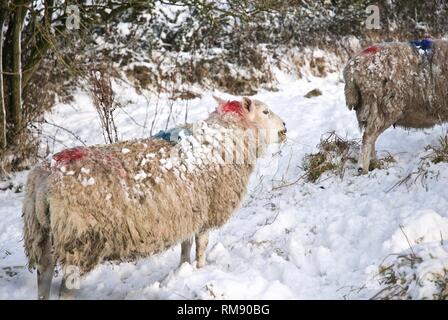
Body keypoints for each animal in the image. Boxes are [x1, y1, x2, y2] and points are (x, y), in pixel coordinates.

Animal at [21, 96, 288, 298]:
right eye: (265, 111)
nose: (284, 128)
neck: (222, 141)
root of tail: (44, 180)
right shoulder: (207, 212)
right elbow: (201, 246)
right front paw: (201, 270)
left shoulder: (188, 211)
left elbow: (186, 246)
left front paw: (183, 268)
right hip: (79, 238)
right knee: (67, 286)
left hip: (41, 232)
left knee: (43, 274)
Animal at [344, 39, 448, 174]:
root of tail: (351, 69)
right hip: (382, 106)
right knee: (368, 138)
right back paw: (363, 169)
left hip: (370, 108)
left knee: (370, 137)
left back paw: (376, 164)